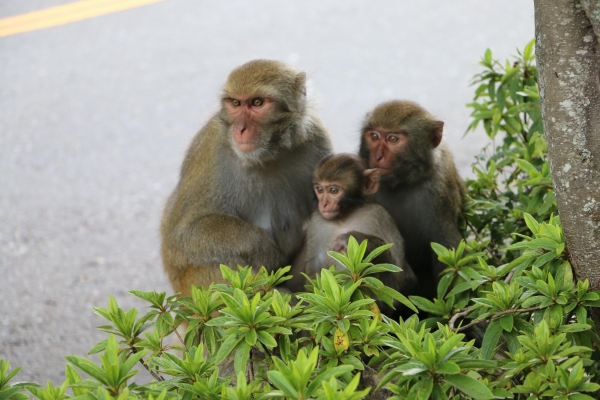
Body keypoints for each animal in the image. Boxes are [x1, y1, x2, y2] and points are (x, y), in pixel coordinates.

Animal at [161, 59, 332, 296]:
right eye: (235, 103)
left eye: (257, 103)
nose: (240, 129)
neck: (267, 156)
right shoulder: (210, 149)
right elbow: (184, 232)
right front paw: (261, 248)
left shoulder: (318, 142)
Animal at [288, 153, 418, 316]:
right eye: (320, 189)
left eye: (333, 190)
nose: (323, 204)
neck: (343, 218)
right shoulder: (317, 223)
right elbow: (315, 273)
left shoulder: (378, 216)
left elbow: (396, 279)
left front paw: (356, 238)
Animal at [356, 100, 464, 300]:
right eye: (374, 136)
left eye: (393, 139)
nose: (377, 156)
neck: (403, 182)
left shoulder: (439, 189)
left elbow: (448, 251)